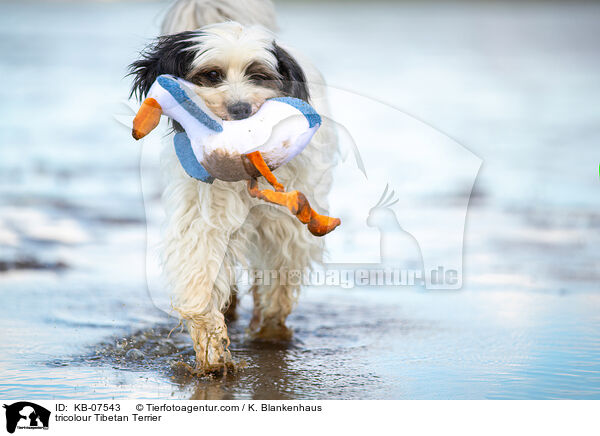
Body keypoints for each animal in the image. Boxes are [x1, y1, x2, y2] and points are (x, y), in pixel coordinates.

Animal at [129, 0, 340, 372]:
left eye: (258, 75)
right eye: (212, 75)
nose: (240, 109)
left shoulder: (285, 226)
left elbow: (279, 274)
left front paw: (270, 329)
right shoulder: (203, 215)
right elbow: (200, 268)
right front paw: (211, 346)